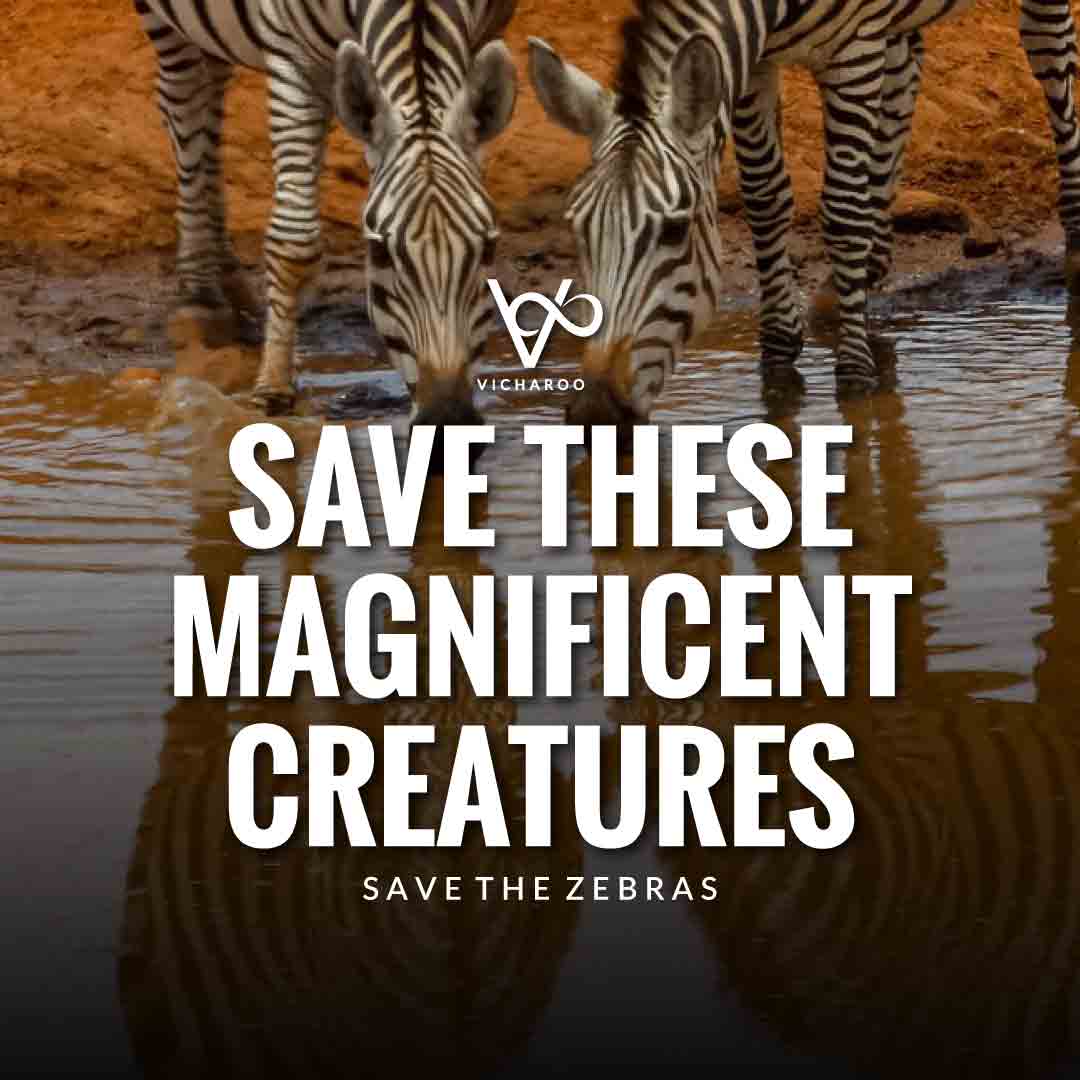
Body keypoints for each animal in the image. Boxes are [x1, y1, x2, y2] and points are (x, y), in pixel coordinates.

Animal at [135, 0, 518, 425]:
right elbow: (294, 242)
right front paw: (273, 388)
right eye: (379, 253)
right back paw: (201, 293)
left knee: (212, 95)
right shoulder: (292, 55)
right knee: (183, 101)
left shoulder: (490, 28)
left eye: (488, 249)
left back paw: (230, 276)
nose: (448, 419)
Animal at [528, 0, 1080, 428]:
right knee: (908, 65)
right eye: (576, 230)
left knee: (1052, 54)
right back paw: (858, 275)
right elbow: (764, 197)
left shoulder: (853, 52)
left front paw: (854, 374)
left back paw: (1074, 247)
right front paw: (778, 354)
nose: (596, 412)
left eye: (675, 231)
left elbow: (841, 209)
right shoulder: (757, 62)